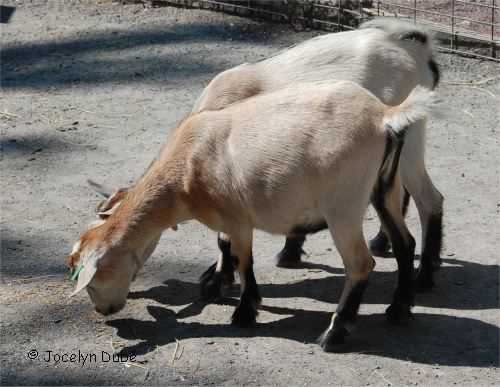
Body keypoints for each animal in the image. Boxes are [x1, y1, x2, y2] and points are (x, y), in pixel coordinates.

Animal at [68, 81, 436, 352]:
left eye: (93, 278)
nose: (103, 311)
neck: (184, 176)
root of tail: (385, 115)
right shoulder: (226, 221)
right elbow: (226, 248)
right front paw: (220, 287)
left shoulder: (238, 217)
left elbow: (243, 260)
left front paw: (245, 310)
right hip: (384, 188)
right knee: (404, 243)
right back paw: (398, 310)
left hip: (343, 203)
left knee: (361, 264)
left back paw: (335, 333)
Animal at [190, 16, 442, 292]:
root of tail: (420, 51)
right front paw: (289, 253)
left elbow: (226, 237)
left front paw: (215, 280)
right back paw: (384, 245)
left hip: (407, 142)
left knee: (429, 199)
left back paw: (423, 277)